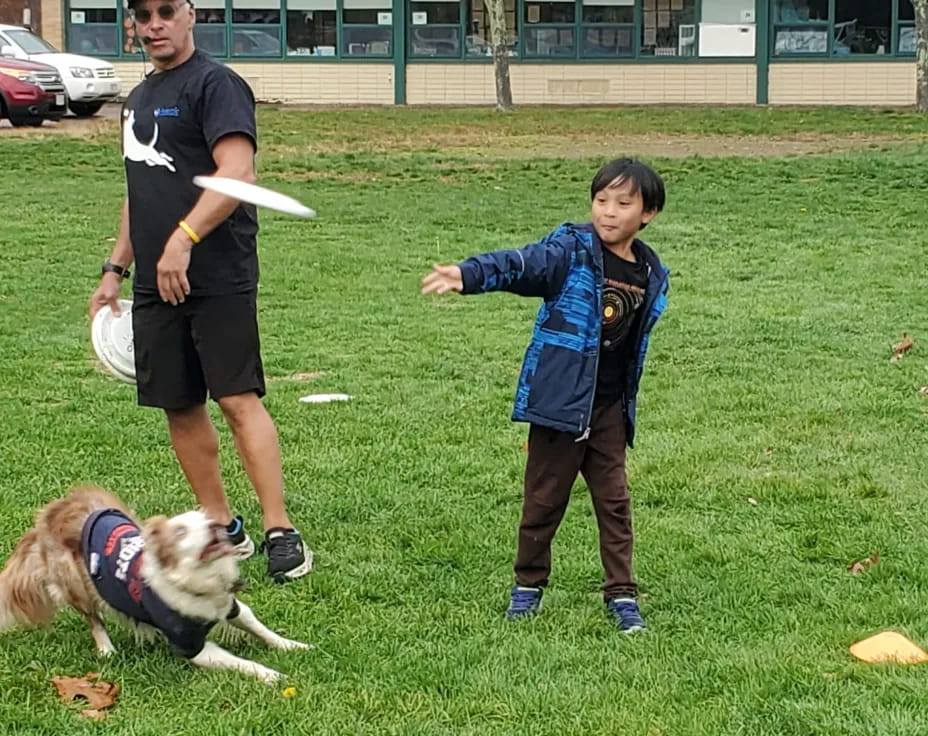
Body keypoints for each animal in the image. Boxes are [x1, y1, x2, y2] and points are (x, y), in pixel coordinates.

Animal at [0, 488, 312, 684]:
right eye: (181, 531)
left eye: (206, 520)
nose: (215, 526)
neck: (198, 579)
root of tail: (51, 509)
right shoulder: (193, 646)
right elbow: (238, 661)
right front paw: (271, 675)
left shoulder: (231, 605)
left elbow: (259, 626)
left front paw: (294, 646)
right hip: (77, 583)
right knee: (93, 618)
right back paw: (106, 649)